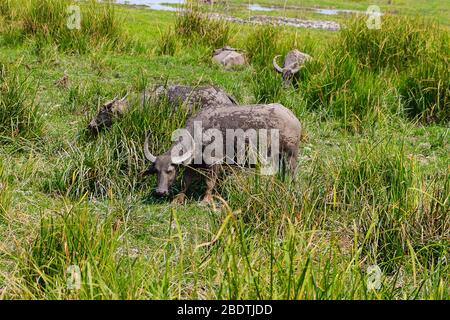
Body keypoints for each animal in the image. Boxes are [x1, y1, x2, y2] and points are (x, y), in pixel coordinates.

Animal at [142, 104, 300, 204]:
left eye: (170, 171)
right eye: (156, 171)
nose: (160, 192)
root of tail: (293, 118)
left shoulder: (215, 162)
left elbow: (209, 183)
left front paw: (206, 200)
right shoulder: (192, 165)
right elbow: (185, 181)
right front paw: (178, 199)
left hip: (291, 154)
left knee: (292, 174)